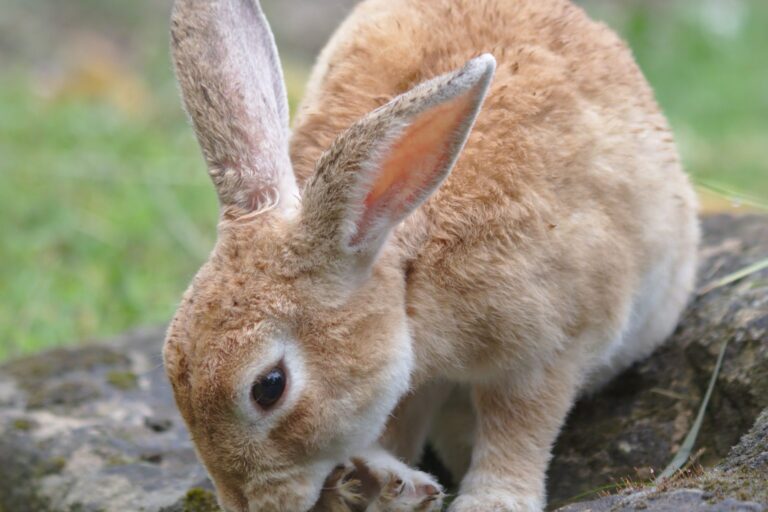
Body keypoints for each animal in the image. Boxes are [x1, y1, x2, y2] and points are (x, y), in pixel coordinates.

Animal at [163, 0, 700, 510]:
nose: (247, 505)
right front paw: (384, 483)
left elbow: (520, 427)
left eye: (269, 386)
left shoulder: (549, 348)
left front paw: (491, 502)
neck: (407, 279)